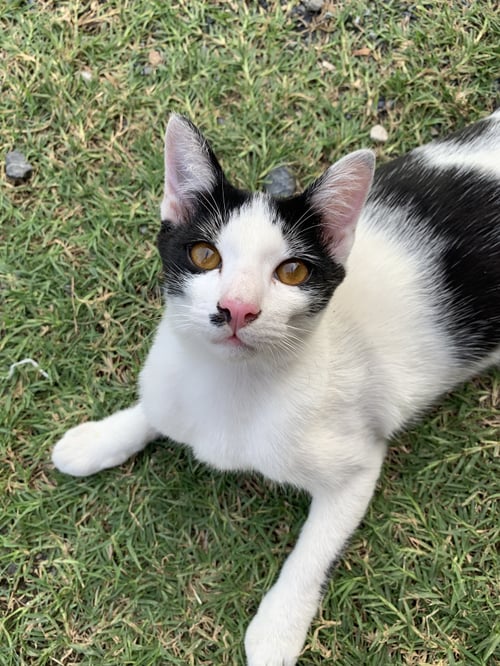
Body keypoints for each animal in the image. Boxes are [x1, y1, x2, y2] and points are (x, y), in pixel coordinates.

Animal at [52, 110, 500, 665]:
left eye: (292, 271)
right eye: (204, 255)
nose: (238, 308)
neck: (234, 385)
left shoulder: (357, 464)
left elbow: (312, 552)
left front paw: (278, 627)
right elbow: (156, 408)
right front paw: (99, 438)